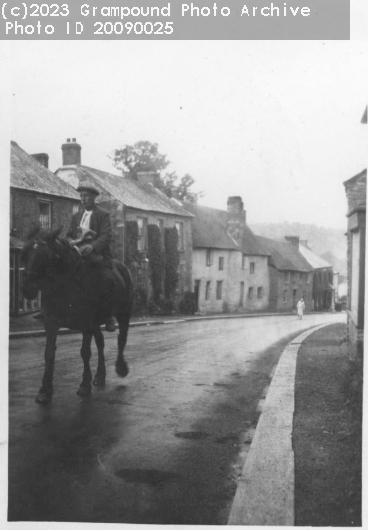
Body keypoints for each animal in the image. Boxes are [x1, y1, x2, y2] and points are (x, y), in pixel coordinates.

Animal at [21, 225, 134, 402]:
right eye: (25, 254)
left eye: (45, 255)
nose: (28, 289)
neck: (65, 283)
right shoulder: (51, 322)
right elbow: (49, 353)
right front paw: (45, 390)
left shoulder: (86, 322)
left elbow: (85, 352)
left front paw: (84, 385)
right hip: (96, 322)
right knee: (100, 342)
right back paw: (100, 375)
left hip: (123, 313)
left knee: (121, 339)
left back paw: (121, 367)